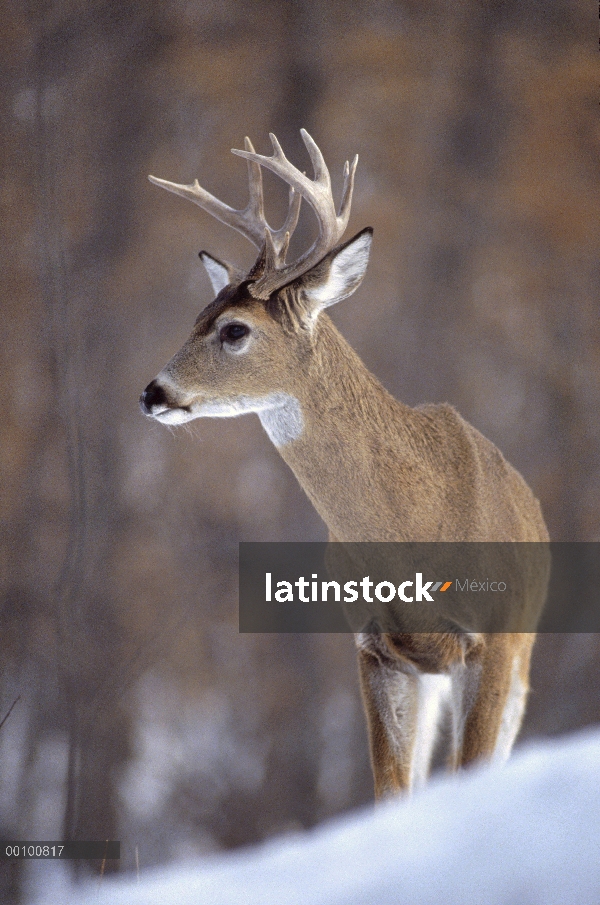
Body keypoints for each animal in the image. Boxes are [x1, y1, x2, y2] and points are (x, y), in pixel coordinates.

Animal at [141, 129, 548, 800]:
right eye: (194, 318)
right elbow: (391, 789)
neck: (413, 526)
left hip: (519, 653)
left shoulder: (490, 640)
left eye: (234, 330)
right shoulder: (374, 646)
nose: (151, 393)